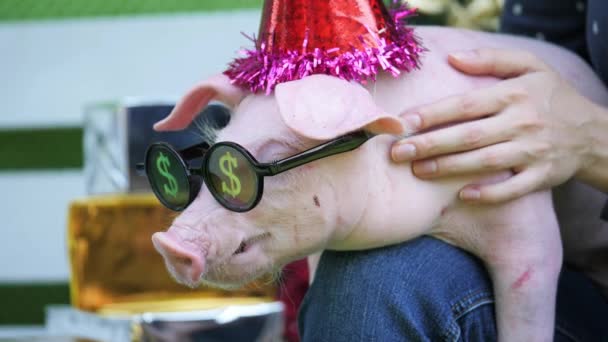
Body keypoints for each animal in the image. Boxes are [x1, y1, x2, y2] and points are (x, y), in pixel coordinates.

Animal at [148, 25, 608, 340]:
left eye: (270, 157)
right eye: (211, 156)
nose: (169, 243)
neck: (440, 218)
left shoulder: (524, 206)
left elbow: (530, 290)